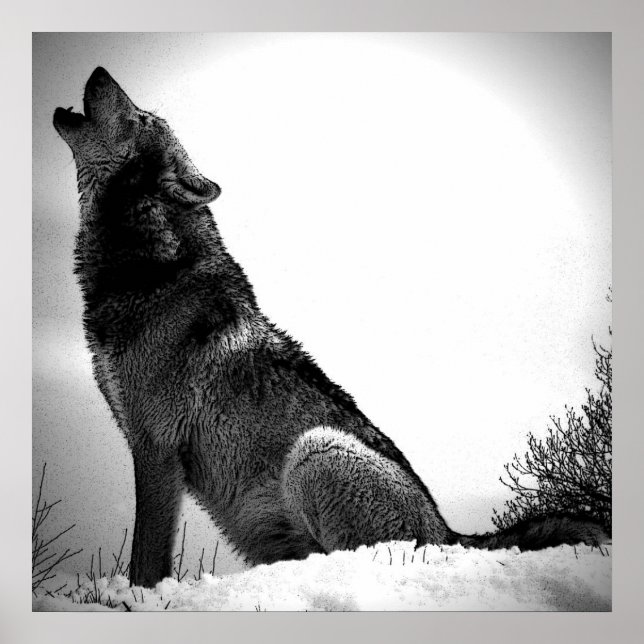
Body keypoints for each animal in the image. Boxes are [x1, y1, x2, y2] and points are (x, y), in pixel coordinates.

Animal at [54, 67, 607, 588]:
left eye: (139, 117)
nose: (100, 71)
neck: (152, 268)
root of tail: (450, 534)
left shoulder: (156, 449)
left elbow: (145, 561)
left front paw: (136, 599)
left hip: (315, 449)